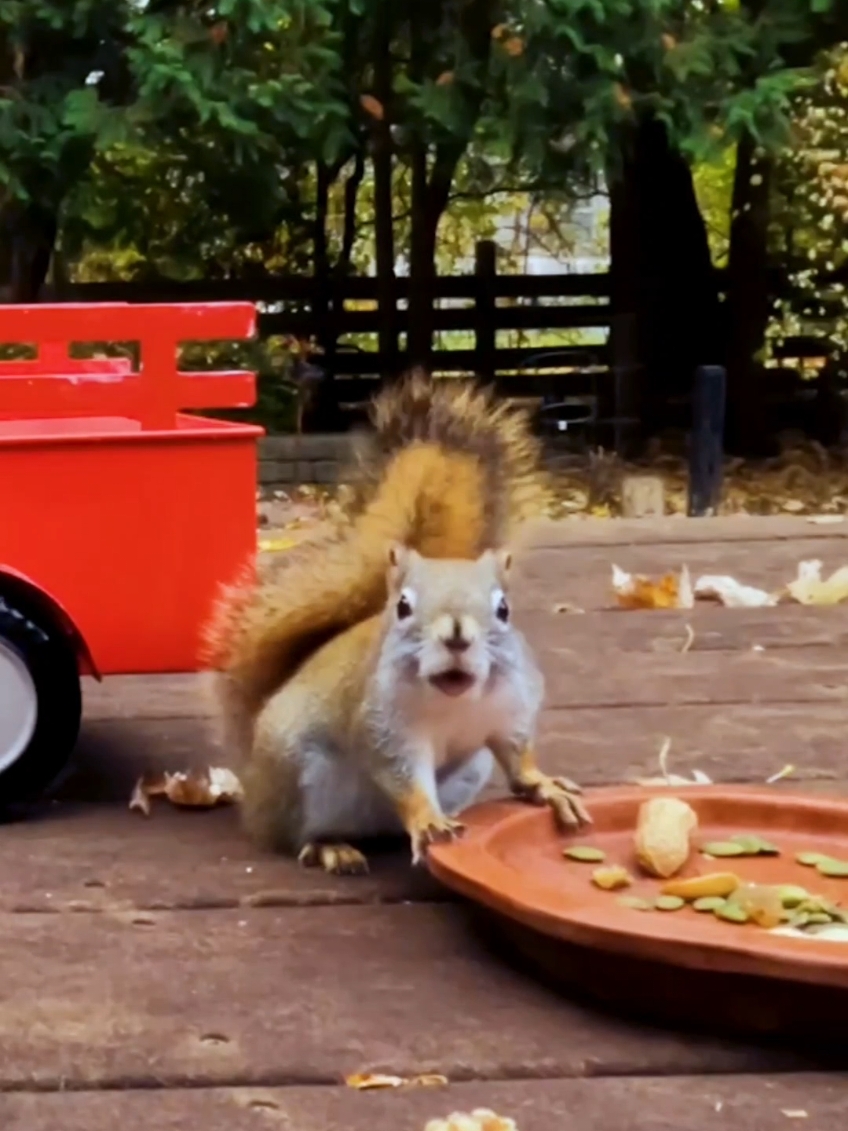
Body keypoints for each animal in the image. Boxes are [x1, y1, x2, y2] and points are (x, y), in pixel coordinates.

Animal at [202, 371, 590, 875]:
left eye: (504, 609)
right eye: (403, 606)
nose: (457, 635)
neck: (453, 701)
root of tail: (253, 780)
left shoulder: (511, 711)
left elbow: (518, 755)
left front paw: (546, 787)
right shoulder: (384, 727)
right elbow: (402, 776)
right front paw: (427, 819)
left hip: (468, 772)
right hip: (301, 778)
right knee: (296, 835)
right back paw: (329, 846)